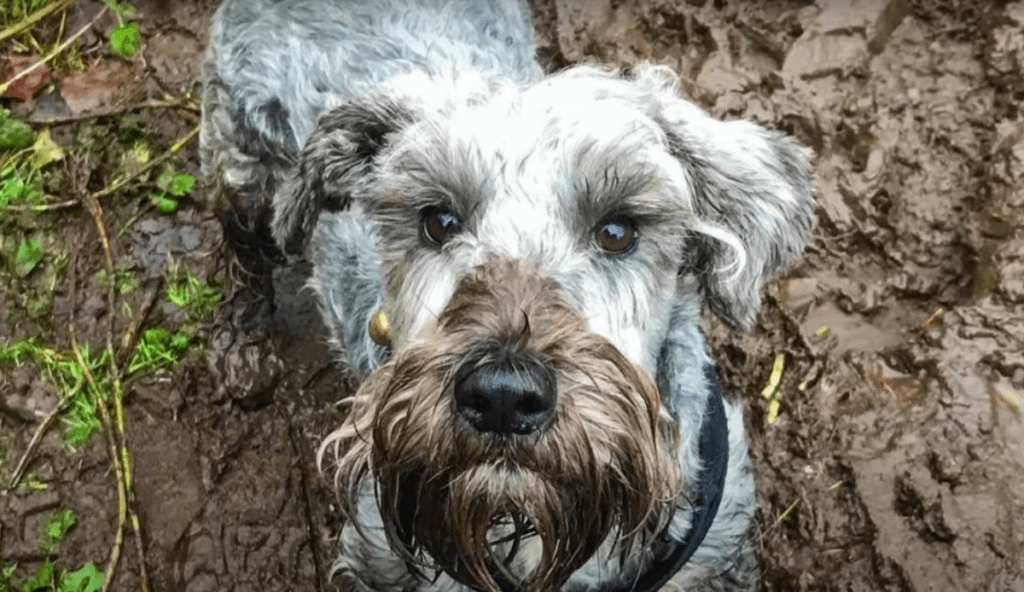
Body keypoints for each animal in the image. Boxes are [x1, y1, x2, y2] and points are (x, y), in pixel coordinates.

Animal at [197, 2, 806, 585]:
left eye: (618, 229)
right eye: (438, 220)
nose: (503, 396)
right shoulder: (379, 557)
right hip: (245, 166)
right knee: (241, 246)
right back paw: (241, 349)